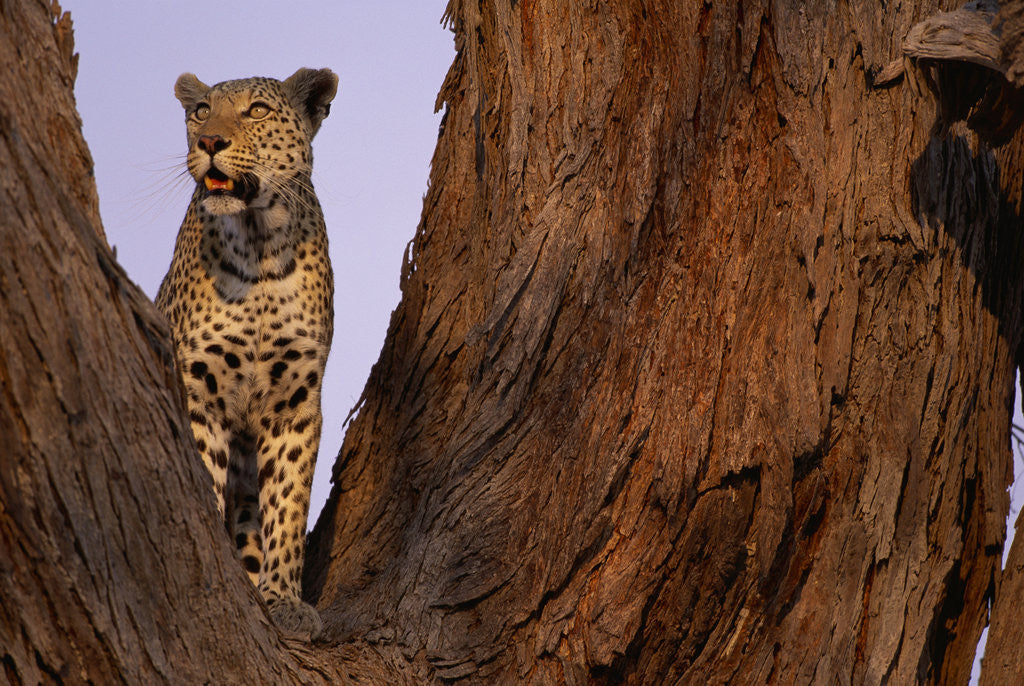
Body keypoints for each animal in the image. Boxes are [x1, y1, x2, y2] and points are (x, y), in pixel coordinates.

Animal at [155, 68, 338, 641]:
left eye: (257, 110)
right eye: (201, 112)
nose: (210, 142)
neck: (258, 247)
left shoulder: (295, 402)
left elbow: (288, 503)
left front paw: (283, 599)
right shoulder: (197, 391)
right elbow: (202, 479)